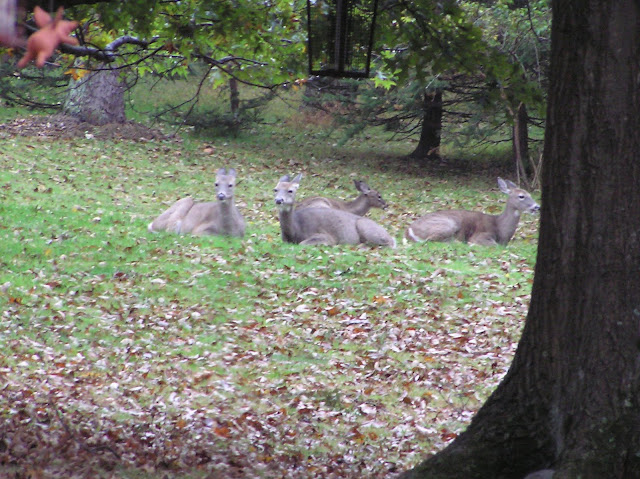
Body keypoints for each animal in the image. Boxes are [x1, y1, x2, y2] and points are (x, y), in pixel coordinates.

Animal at [405, 178, 539, 246]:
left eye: (530, 194)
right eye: (521, 196)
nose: (537, 207)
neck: (500, 228)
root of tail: (409, 232)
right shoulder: (481, 235)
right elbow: (493, 245)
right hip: (449, 223)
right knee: (431, 239)